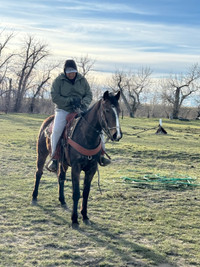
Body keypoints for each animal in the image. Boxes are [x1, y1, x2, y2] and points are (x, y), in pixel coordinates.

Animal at [31, 91, 122, 227]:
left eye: (119, 111)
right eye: (106, 110)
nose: (117, 135)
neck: (86, 136)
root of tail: (47, 121)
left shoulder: (91, 169)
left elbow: (85, 193)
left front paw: (85, 216)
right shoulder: (76, 168)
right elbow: (76, 193)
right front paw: (74, 219)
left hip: (63, 162)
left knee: (61, 177)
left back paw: (62, 200)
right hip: (41, 153)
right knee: (39, 173)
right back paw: (34, 196)